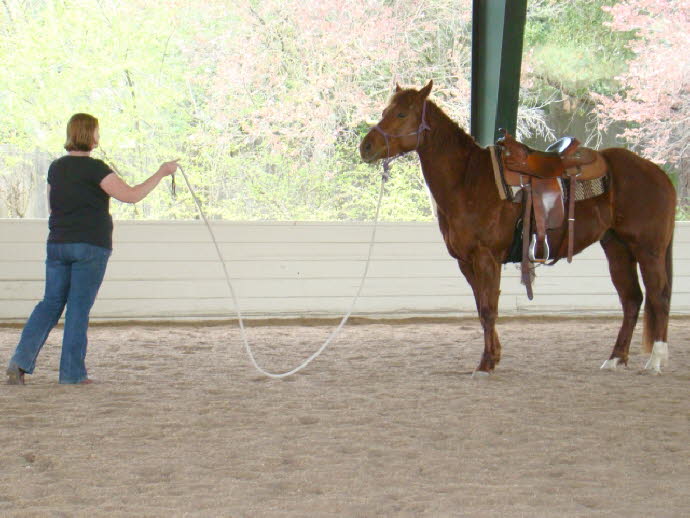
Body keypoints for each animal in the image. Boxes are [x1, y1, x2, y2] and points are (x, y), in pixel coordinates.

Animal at [358, 81, 676, 376]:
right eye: (385, 111)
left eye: (401, 113)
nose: (366, 147)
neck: (467, 180)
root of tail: (657, 172)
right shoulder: (466, 262)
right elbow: (481, 308)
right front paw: (494, 356)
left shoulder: (486, 257)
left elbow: (489, 309)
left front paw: (485, 364)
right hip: (617, 248)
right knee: (632, 299)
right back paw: (615, 359)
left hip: (648, 249)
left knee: (658, 296)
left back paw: (656, 360)